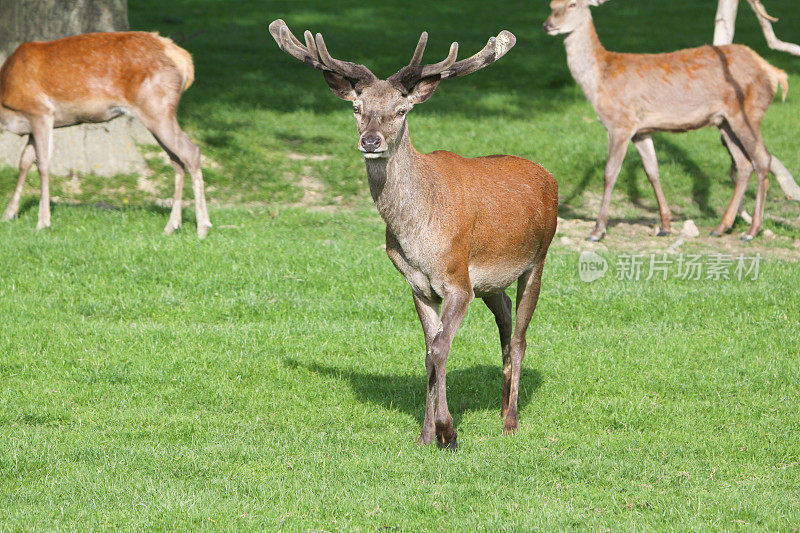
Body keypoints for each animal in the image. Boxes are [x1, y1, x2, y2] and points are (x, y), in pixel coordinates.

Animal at [0, 30, 211, 235]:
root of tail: (182, 58)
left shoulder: (40, 110)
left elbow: (42, 163)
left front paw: (43, 221)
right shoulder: (31, 125)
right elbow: (24, 161)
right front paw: (8, 214)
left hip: (157, 107)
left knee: (191, 152)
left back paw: (202, 227)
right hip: (159, 113)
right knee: (176, 160)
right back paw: (172, 225)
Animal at [268, 18, 556, 446]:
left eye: (401, 110)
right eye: (357, 107)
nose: (370, 141)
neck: (416, 232)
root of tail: (548, 175)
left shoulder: (457, 280)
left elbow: (439, 349)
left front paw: (448, 432)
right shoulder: (419, 285)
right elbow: (428, 352)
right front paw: (425, 436)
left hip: (538, 258)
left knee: (520, 337)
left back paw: (510, 421)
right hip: (491, 281)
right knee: (504, 321)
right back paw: (502, 406)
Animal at [544, 0, 788, 239]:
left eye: (572, 4)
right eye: (551, 5)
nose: (547, 25)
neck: (599, 81)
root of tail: (774, 72)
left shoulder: (620, 123)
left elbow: (610, 173)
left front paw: (597, 230)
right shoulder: (641, 130)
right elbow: (652, 172)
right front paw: (665, 225)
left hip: (749, 113)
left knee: (762, 159)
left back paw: (752, 230)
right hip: (724, 121)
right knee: (744, 164)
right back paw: (721, 227)